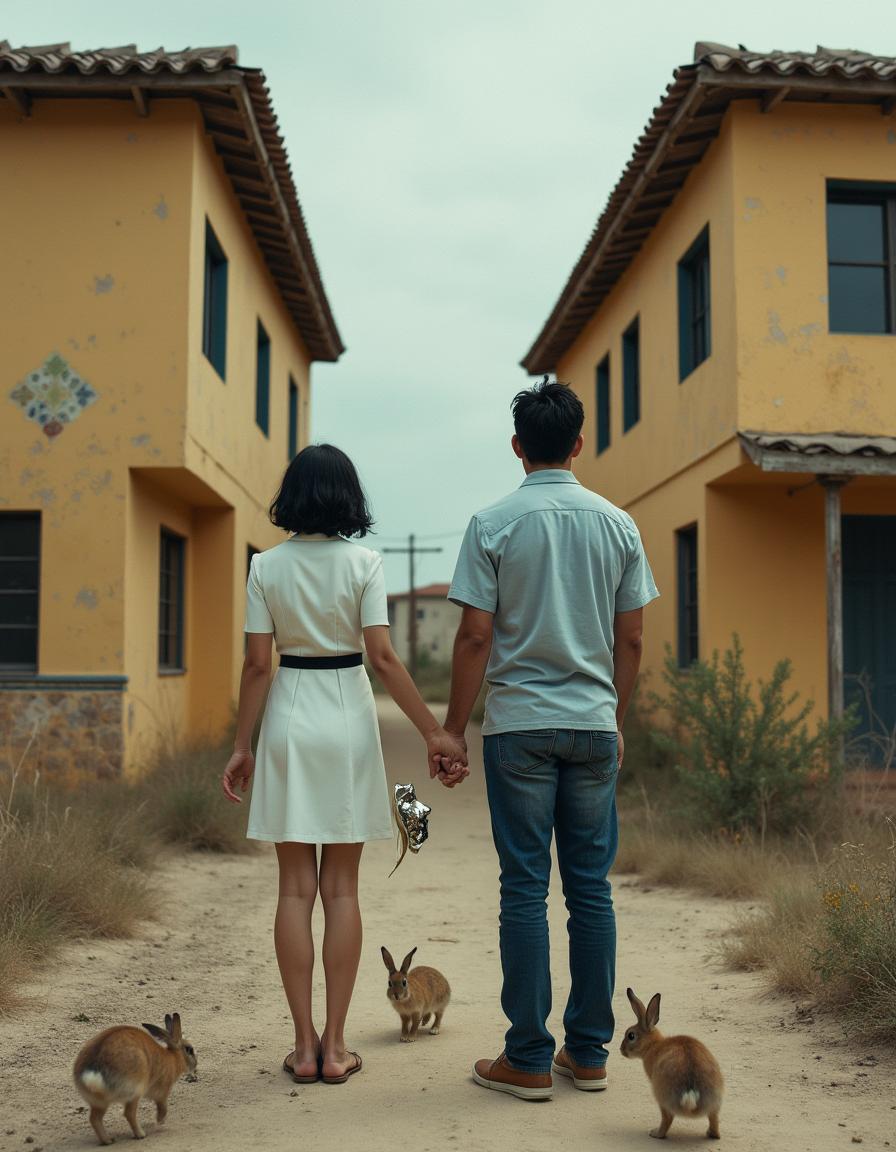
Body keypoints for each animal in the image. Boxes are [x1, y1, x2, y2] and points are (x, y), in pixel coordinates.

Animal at [72, 1009, 196, 1142]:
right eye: (189, 1050)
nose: (195, 1064)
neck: (173, 1058)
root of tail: (94, 1071)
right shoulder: (163, 1092)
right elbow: (162, 1107)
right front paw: (160, 1121)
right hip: (135, 1091)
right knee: (129, 1114)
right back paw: (140, 1134)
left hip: (99, 1102)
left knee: (95, 1119)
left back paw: (108, 1140)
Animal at [617, 986, 723, 1138]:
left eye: (631, 1035)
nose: (621, 1050)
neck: (652, 1045)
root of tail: (691, 1093)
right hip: (715, 1103)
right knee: (714, 1119)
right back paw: (711, 1133)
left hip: (661, 1098)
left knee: (667, 1119)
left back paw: (655, 1133)